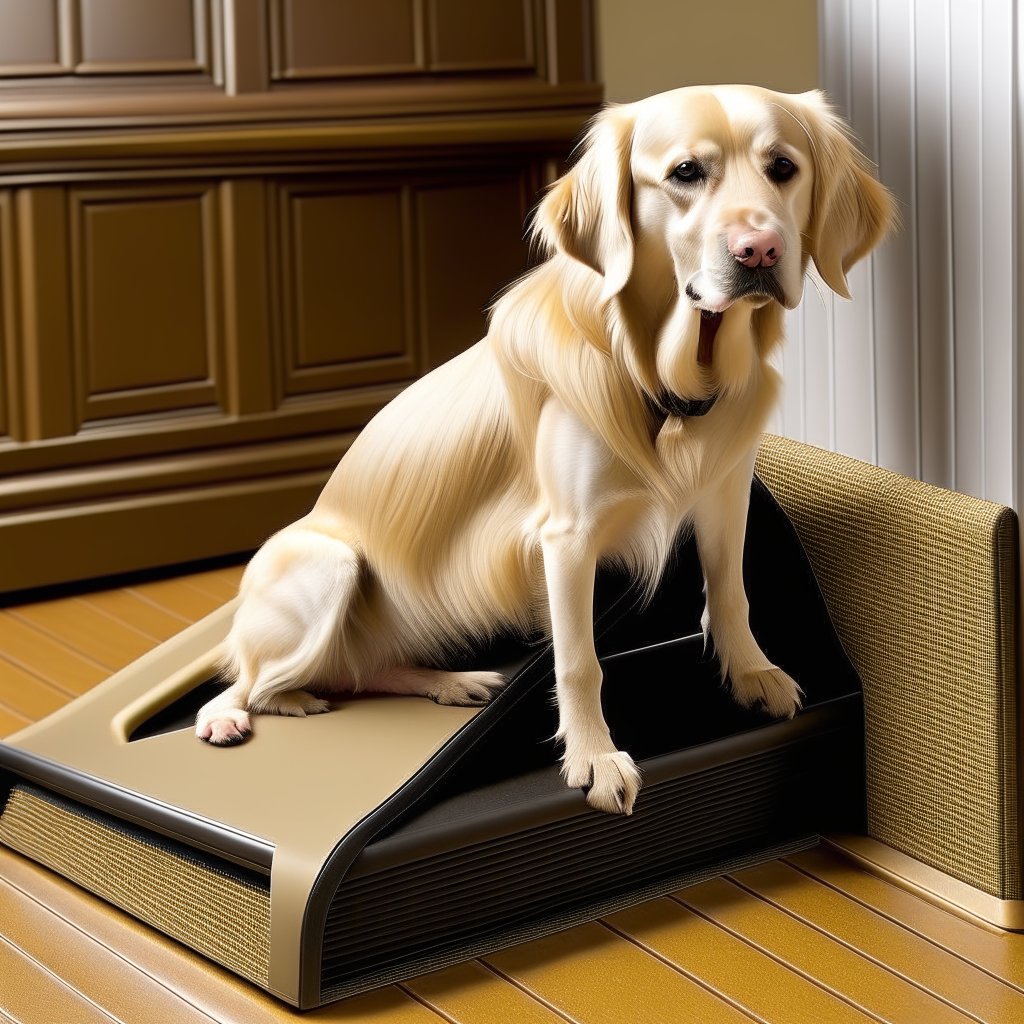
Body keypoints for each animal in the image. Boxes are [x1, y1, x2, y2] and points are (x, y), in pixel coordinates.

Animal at [195, 83, 892, 811]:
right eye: (685, 173)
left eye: (783, 168)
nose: (759, 251)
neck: (663, 380)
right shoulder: (569, 535)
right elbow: (579, 660)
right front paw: (595, 757)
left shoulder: (726, 493)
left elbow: (731, 592)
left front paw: (753, 673)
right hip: (324, 563)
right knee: (249, 682)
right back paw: (237, 712)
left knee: (356, 674)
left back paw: (450, 682)